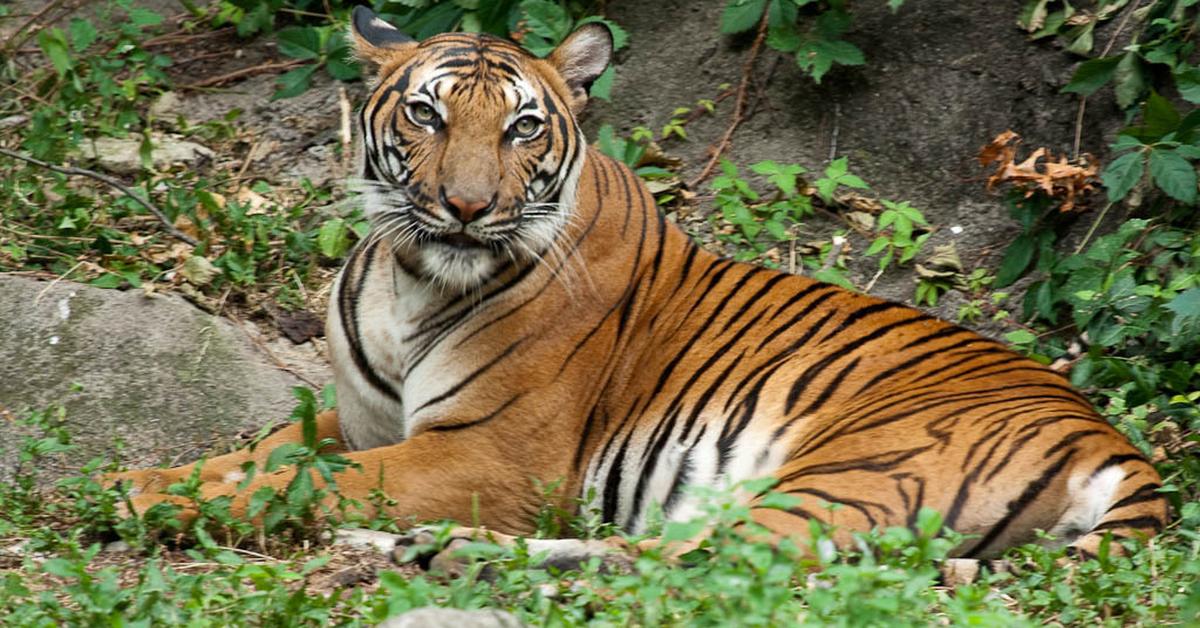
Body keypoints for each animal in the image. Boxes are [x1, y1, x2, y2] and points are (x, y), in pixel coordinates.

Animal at [108, 7, 1166, 571]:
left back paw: (445, 552)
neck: (410, 283)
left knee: (677, 572)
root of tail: (1111, 440)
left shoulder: (487, 456)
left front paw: (144, 501)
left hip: (849, 473)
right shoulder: (367, 422)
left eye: (523, 128)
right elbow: (262, 450)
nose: (465, 206)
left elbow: (295, 479)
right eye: (425, 114)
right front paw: (141, 481)